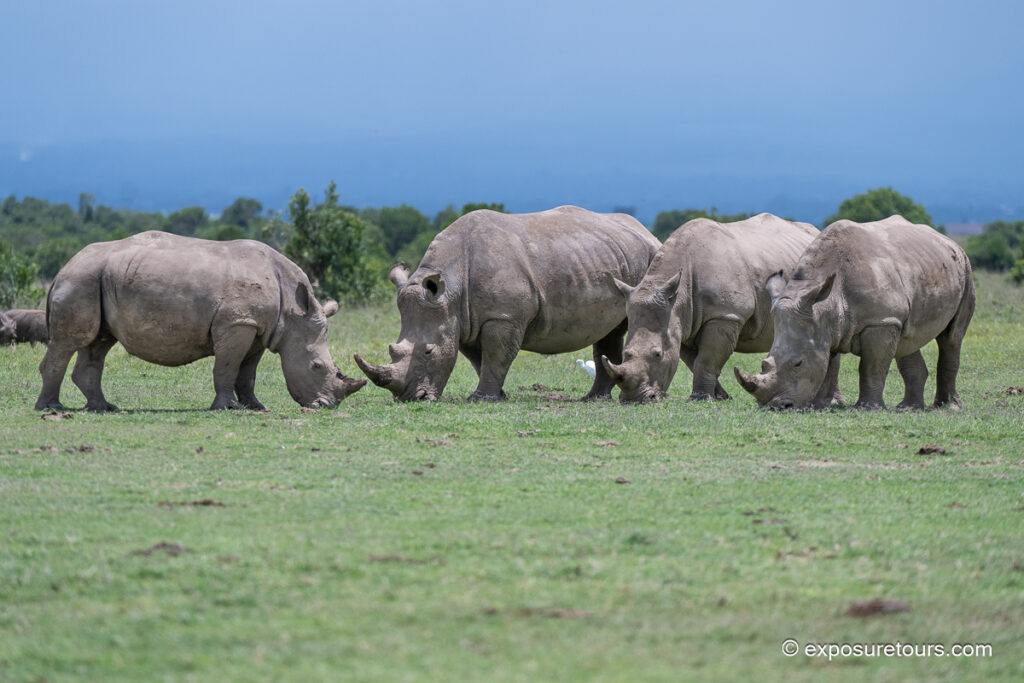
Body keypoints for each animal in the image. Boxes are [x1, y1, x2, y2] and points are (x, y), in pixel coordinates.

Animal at [35, 231, 366, 411]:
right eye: (316, 366)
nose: (327, 406)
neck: (292, 313)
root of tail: (63, 268)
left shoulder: (259, 328)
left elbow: (248, 373)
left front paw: (256, 407)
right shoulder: (237, 324)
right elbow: (228, 367)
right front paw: (228, 408)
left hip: (95, 279)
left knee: (98, 343)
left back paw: (103, 408)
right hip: (81, 280)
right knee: (69, 342)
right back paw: (52, 407)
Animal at [354, 206, 661, 401]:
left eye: (429, 352)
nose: (410, 398)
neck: (451, 287)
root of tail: (646, 231)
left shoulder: (502, 316)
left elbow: (496, 355)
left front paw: (481, 399)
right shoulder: (465, 319)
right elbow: (480, 359)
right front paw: (497, 395)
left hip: (651, 258)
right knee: (610, 332)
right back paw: (594, 399)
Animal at [601, 213, 828, 403]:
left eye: (657, 354)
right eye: (626, 354)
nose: (634, 400)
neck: (678, 297)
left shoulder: (725, 315)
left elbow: (706, 359)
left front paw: (701, 399)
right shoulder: (683, 322)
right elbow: (693, 362)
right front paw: (720, 397)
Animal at [734, 216, 975, 410]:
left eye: (798, 363)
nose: (776, 407)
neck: (826, 303)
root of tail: (946, 239)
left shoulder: (879, 322)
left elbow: (871, 367)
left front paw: (867, 408)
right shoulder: (825, 326)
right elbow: (828, 367)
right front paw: (818, 407)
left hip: (965, 267)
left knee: (951, 338)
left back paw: (948, 407)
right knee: (907, 340)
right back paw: (909, 408)